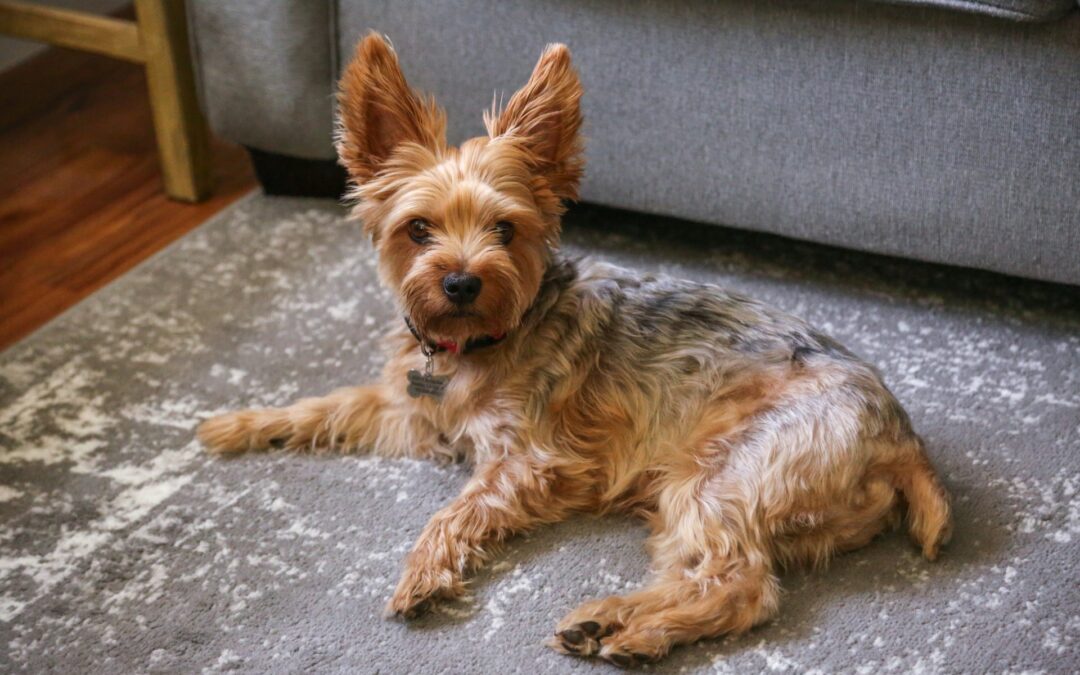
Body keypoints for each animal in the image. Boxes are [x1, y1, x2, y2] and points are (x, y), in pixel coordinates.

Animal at [198, 34, 950, 665]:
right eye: (417, 229)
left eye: (505, 230)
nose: (461, 281)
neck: (481, 339)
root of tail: (903, 441)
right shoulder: (412, 409)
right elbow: (328, 406)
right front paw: (238, 424)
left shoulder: (527, 461)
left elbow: (456, 509)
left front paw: (422, 570)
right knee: (709, 572)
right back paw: (607, 620)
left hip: (721, 475)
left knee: (740, 585)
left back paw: (634, 631)